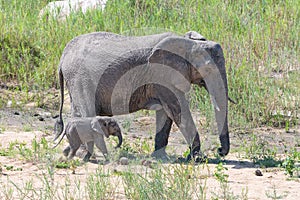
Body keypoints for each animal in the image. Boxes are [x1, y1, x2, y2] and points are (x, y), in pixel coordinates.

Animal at [55, 30, 230, 162]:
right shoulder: (161, 74)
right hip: (81, 79)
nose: (220, 150)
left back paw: (70, 152)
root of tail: (63, 57)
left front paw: (160, 157)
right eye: (208, 69)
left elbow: (165, 113)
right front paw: (200, 159)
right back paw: (83, 154)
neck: (186, 42)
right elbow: (178, 109)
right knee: (87, 111)